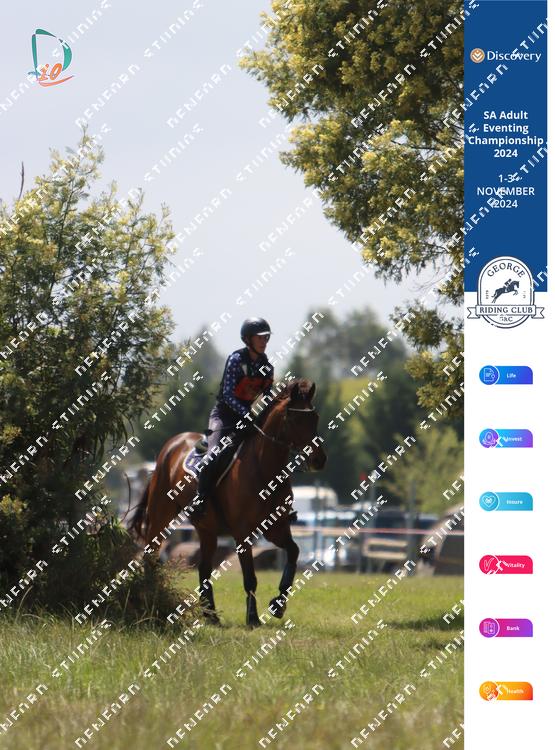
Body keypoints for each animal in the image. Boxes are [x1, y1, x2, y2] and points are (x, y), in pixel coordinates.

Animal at [129, 379, 326, 627]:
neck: (264, 469)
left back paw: (211, 615)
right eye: (295, 419)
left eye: (315, 418)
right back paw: (150, 597)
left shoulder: (276, 528)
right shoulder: (243, 533)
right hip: (161, 516)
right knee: (150, 556)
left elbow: (294, 551)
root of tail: (170, 446)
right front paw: (253, 618)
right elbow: (250, 577)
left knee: (204, 568)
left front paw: (278, 604)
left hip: (206, 529)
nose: (319, 460)